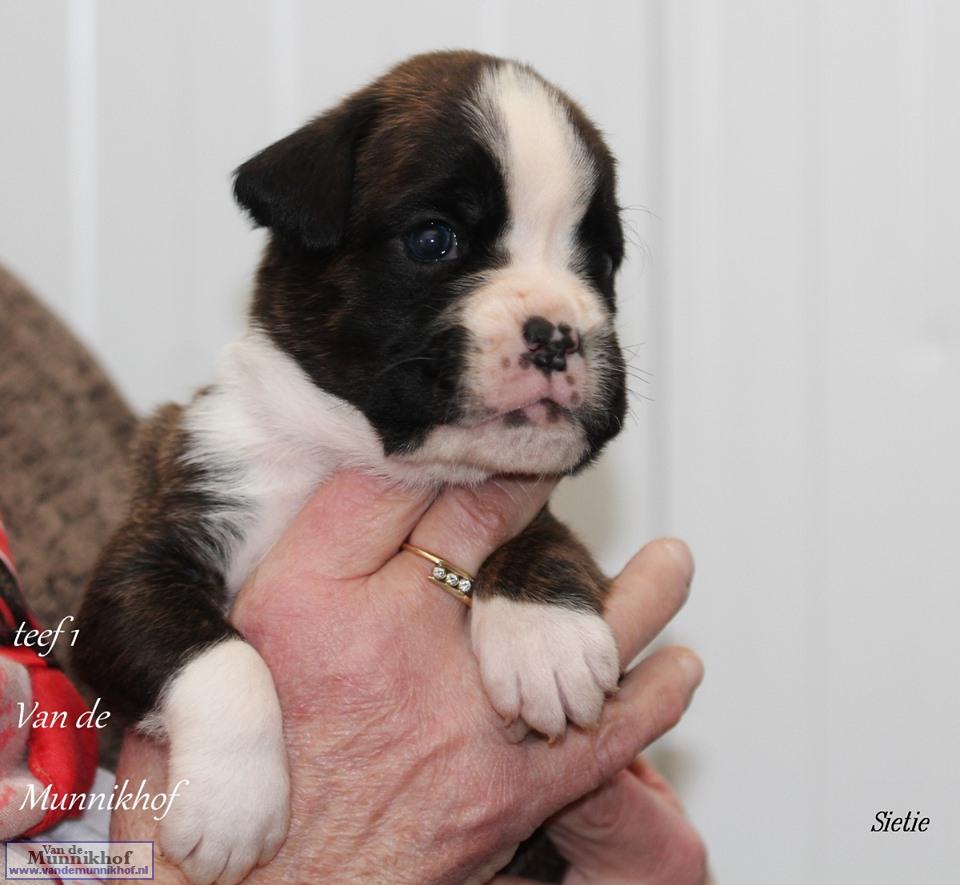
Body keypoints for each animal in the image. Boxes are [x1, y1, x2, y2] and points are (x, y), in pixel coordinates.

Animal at [74, 50, 628, 884]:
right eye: (433, 240)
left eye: (598, 260)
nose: (559, 332)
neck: (353, 451)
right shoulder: (144, 557)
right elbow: (218, 654)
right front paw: (235, 800)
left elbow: (545, 536)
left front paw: (545, 634)